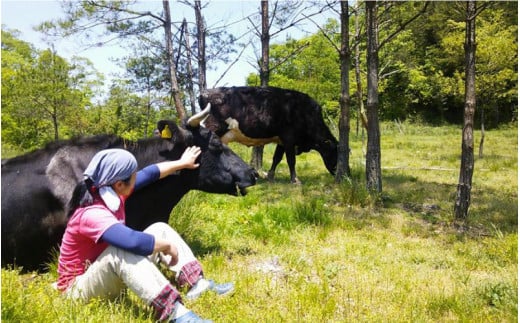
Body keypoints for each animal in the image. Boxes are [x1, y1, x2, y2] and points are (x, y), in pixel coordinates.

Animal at [193, 86, 340, 185]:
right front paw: (295, 180)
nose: (339, 174)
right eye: (336, 153)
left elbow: (277, 158)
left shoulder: (281, 140)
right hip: (211, 127)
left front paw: (270, 175)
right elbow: (291, 160)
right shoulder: (289, 138)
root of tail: (206, 92)